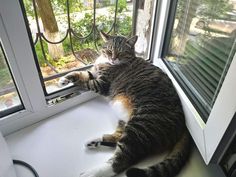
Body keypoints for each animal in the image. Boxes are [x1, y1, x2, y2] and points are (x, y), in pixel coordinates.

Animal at [58, 31, 191, 177]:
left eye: (121, 53)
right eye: (109, 50)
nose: (113, 59)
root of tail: (183, 125)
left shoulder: (101, 84)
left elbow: (85, 82)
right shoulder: (93, 72)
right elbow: (80, 73)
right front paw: (64, 79)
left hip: (141, 124)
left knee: (122, 160)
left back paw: (94, 172)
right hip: (125, 120)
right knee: (117, 138)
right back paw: (94, 141)